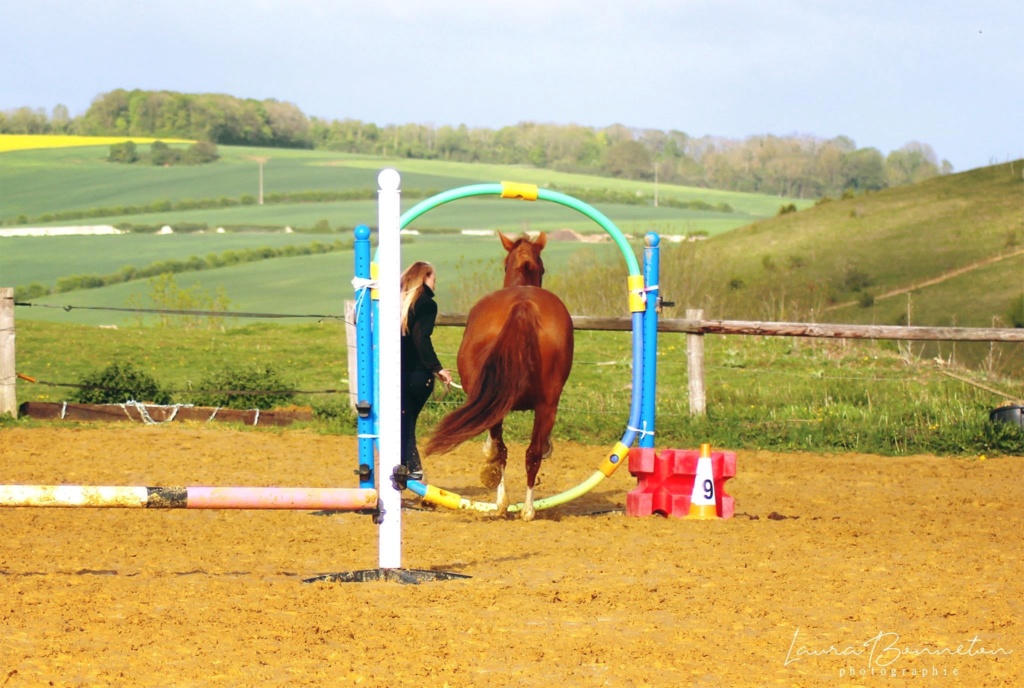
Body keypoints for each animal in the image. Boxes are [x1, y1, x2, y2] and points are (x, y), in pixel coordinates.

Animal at [419, 232, 573, 522]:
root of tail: (523, 304)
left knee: (510, 450)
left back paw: (509, 504)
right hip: (546, 404)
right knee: (530, 452)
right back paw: (524, 508)